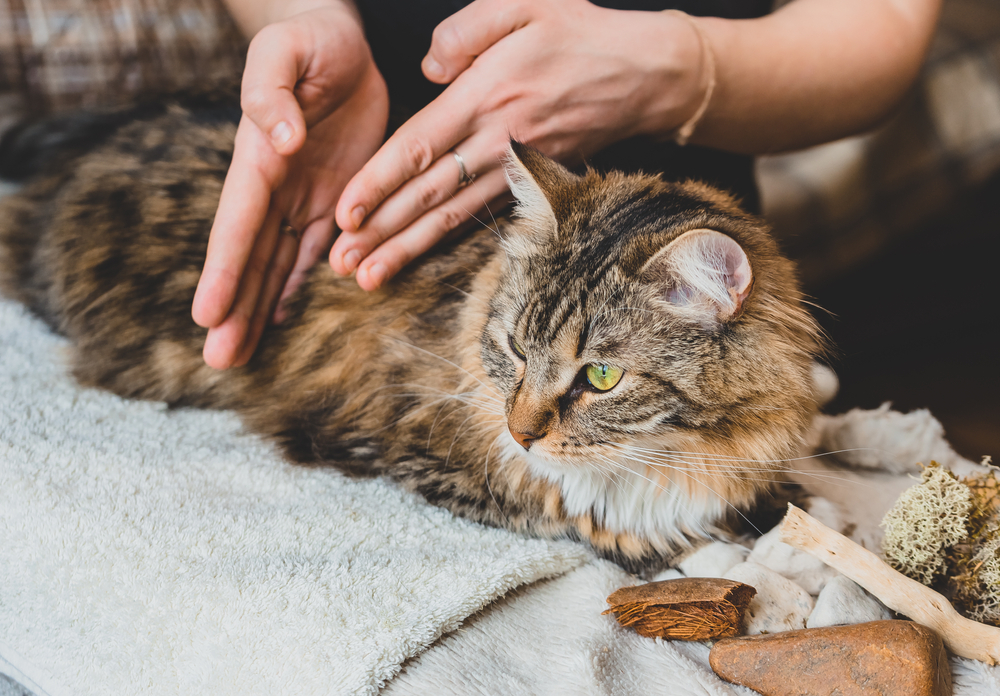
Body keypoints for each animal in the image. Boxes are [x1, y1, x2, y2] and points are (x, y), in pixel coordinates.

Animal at [0, 98, 820, 568]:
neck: (672, 459)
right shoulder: (404, 449)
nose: (521, 433)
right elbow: (591, 525)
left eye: (601, 377)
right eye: (514, 349)